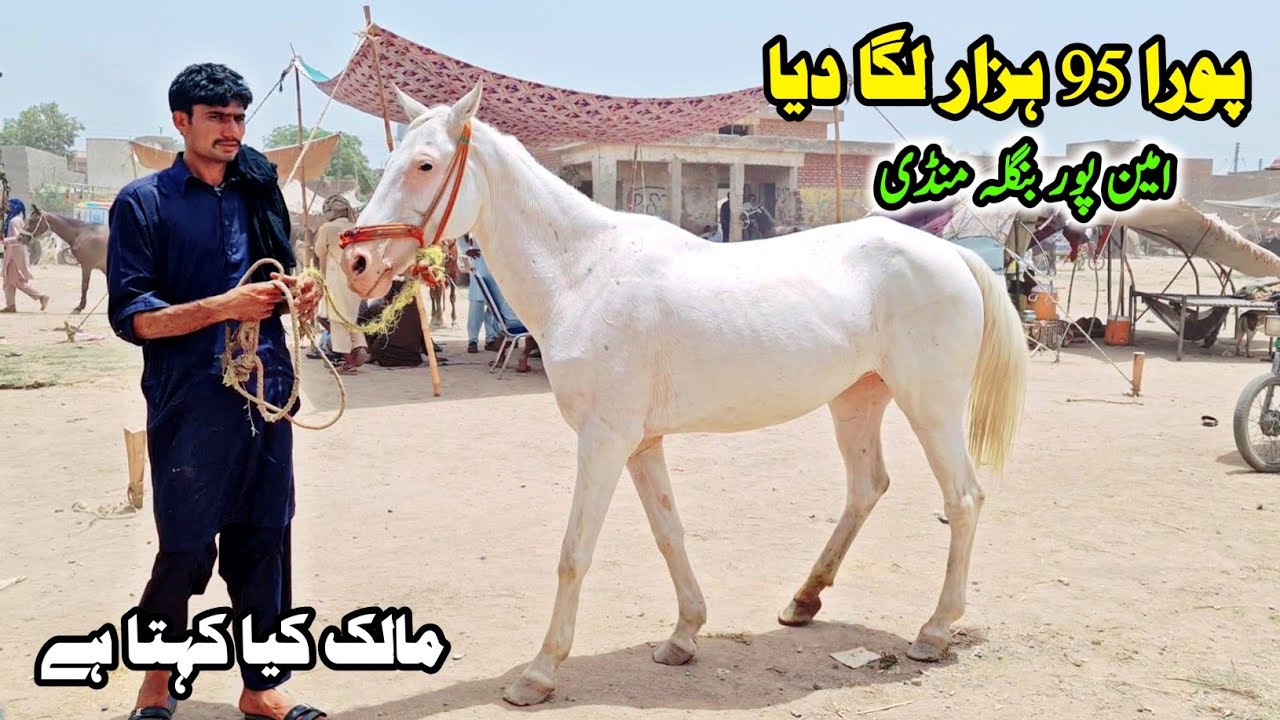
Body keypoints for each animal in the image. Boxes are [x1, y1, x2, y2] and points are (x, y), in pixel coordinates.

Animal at [336, 82, 1028, 707]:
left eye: (425, 165)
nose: (357, 264)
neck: (583, 273)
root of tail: (952, 257)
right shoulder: (641, 444)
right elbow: (669, 532)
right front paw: (684, 635)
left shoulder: (604, 440)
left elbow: (574, 552)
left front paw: (539, 672)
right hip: (856, 401)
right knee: (867, 488)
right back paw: (804, 601)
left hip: (930, 406)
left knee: (963, 499)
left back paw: (934, 631)